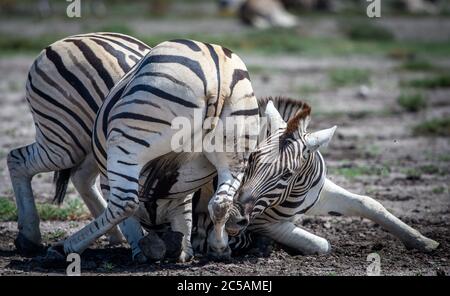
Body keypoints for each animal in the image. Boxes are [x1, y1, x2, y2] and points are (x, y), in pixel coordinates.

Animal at [6, 31, 152, 256]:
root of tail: (75, 37)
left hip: (95, 142)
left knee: (81, 177)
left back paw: (117, 235)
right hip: (65, 139)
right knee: (18, 159)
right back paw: (29, 237)